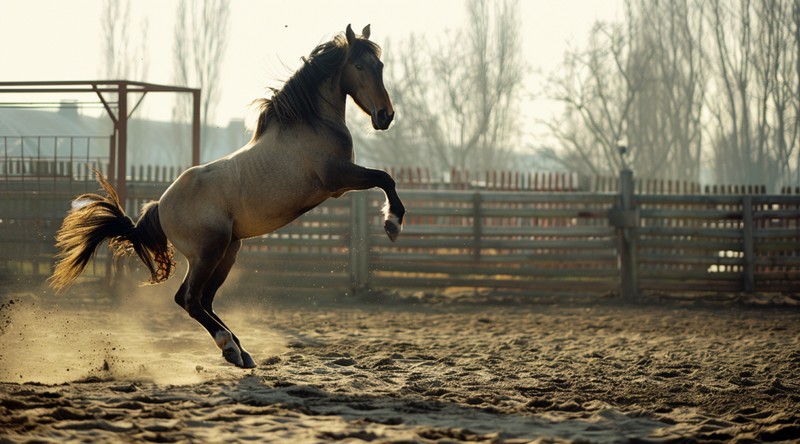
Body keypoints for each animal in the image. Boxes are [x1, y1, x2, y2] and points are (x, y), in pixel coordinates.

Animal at [47, 25, 404, 372]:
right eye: (359, 66)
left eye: (380, 66)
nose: (385, 116)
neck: (311, 125)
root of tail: (160, 207)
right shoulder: (337, 179)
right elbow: (385, 178)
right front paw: (392, 223)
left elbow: (385, 178)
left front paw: (392, 222)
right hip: (209, 251)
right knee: (189, 299)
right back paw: (230, 348)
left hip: (228, 251)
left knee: (204, 300)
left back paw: (241, 352)